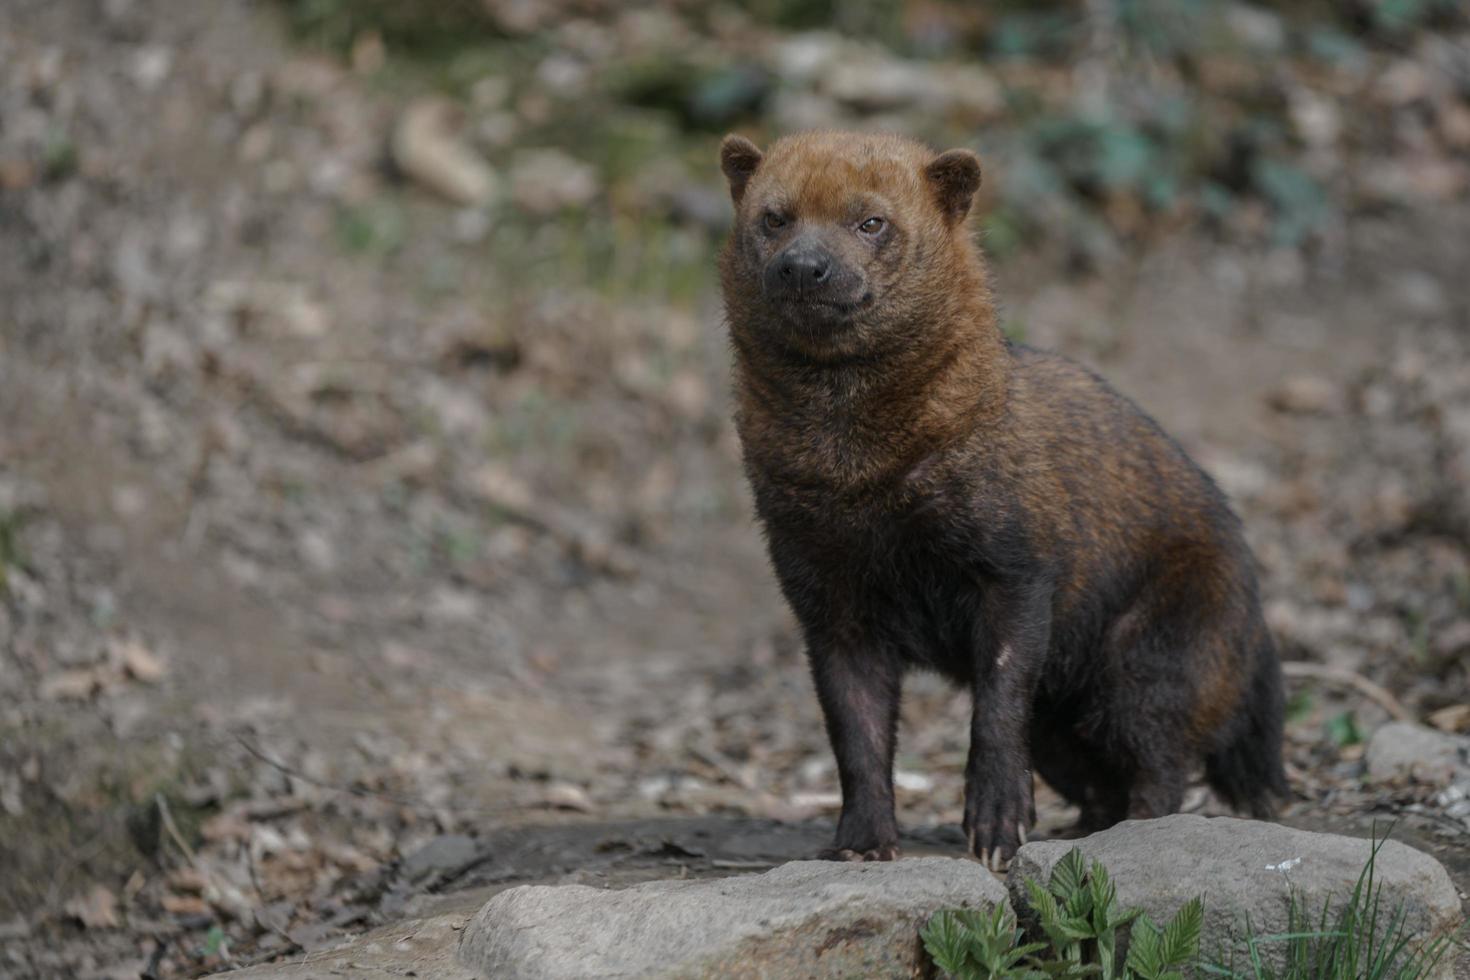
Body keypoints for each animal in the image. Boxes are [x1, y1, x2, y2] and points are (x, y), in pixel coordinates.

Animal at [717, 128, 1281, 863]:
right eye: (774, 217)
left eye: (871, 221)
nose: (803, 267)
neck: (862, 485)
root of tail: (1257, 622)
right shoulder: (827, 598)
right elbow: (856, 732)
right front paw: (861, 843)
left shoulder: (1015, 565)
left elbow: (999, 700)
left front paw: (995, 827)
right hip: (1066, 720)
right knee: (1101, 780)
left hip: (1152, 656)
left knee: (1161, 763)